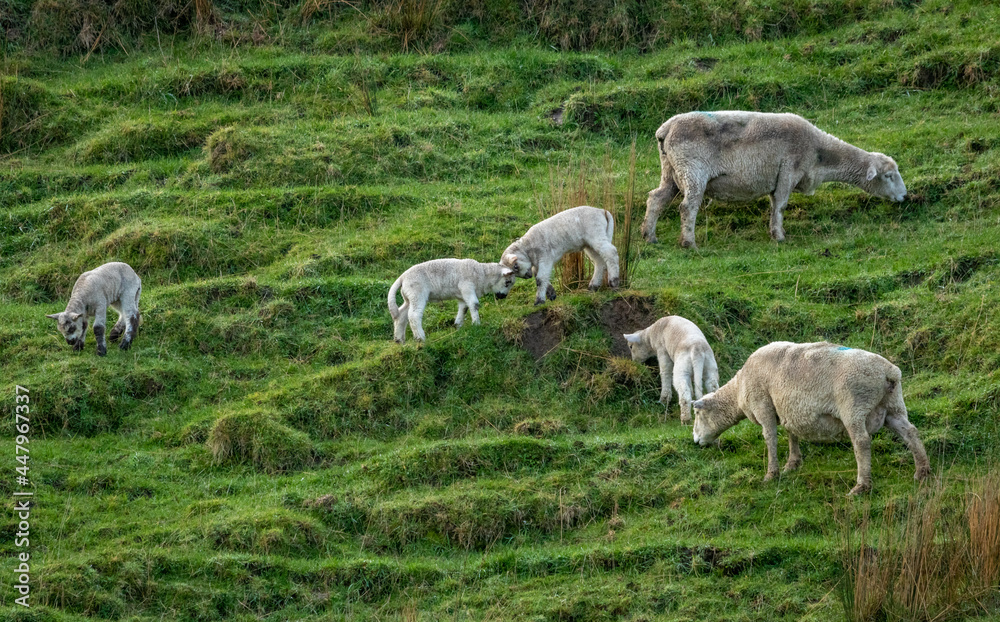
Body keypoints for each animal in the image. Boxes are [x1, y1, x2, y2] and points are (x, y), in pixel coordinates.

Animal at [641, 111, 908, 248]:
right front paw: (779, 237)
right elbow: (781, 205)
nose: (905, 196)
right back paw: (689, 243)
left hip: (671, 171)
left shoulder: (779, 176)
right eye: (888, 176)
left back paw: (649, 237)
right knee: (688, 207)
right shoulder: (789, 170)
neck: (819, 154)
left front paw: (774, 231)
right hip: (692, 169)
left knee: (656, 199)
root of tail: (664, 130)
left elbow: (773, 206)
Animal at [691, 341, 930, 495]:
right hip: (893, 406)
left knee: (861, 442)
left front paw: (771, 474)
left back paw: (861, 486)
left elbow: (770, 438)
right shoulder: (787, 408)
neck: (739, 389)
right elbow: (791, 433)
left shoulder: (763, 405)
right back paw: (922, 472)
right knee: (910, 432)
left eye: (697, 414)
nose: (695, 441)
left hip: (854, 406)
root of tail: (889, 373)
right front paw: (793, 464)